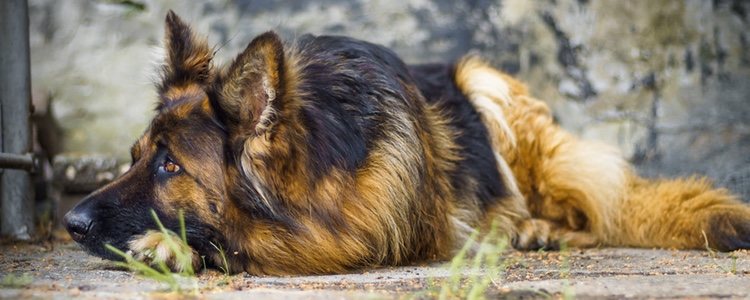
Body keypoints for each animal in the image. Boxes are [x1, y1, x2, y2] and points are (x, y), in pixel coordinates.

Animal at [63, 11, 750, 274]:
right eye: (133, 158)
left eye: (170, 166)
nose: (69, 222)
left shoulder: (346, 237)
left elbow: (235, 242)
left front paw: (165, 244)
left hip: (492, 91)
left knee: (596, 208)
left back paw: (536, 230)